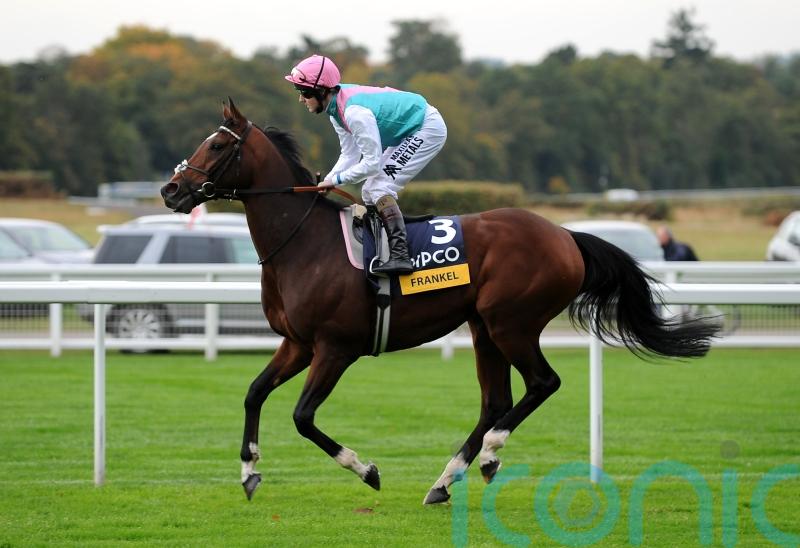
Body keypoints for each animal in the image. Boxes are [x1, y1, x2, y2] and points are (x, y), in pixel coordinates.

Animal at [160, 98, 719, 504]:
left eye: (216, 145)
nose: (170, 189)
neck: (304, 244)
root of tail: (564, 235)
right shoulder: (298, 344)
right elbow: (254, 393)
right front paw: (248, 472)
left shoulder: (336, 348)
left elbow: (302, 416)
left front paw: (367, 470)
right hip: (483, 328)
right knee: (496, 401)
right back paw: (446, 480)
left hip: (511, 322)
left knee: (542, 383)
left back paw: (488, 455)